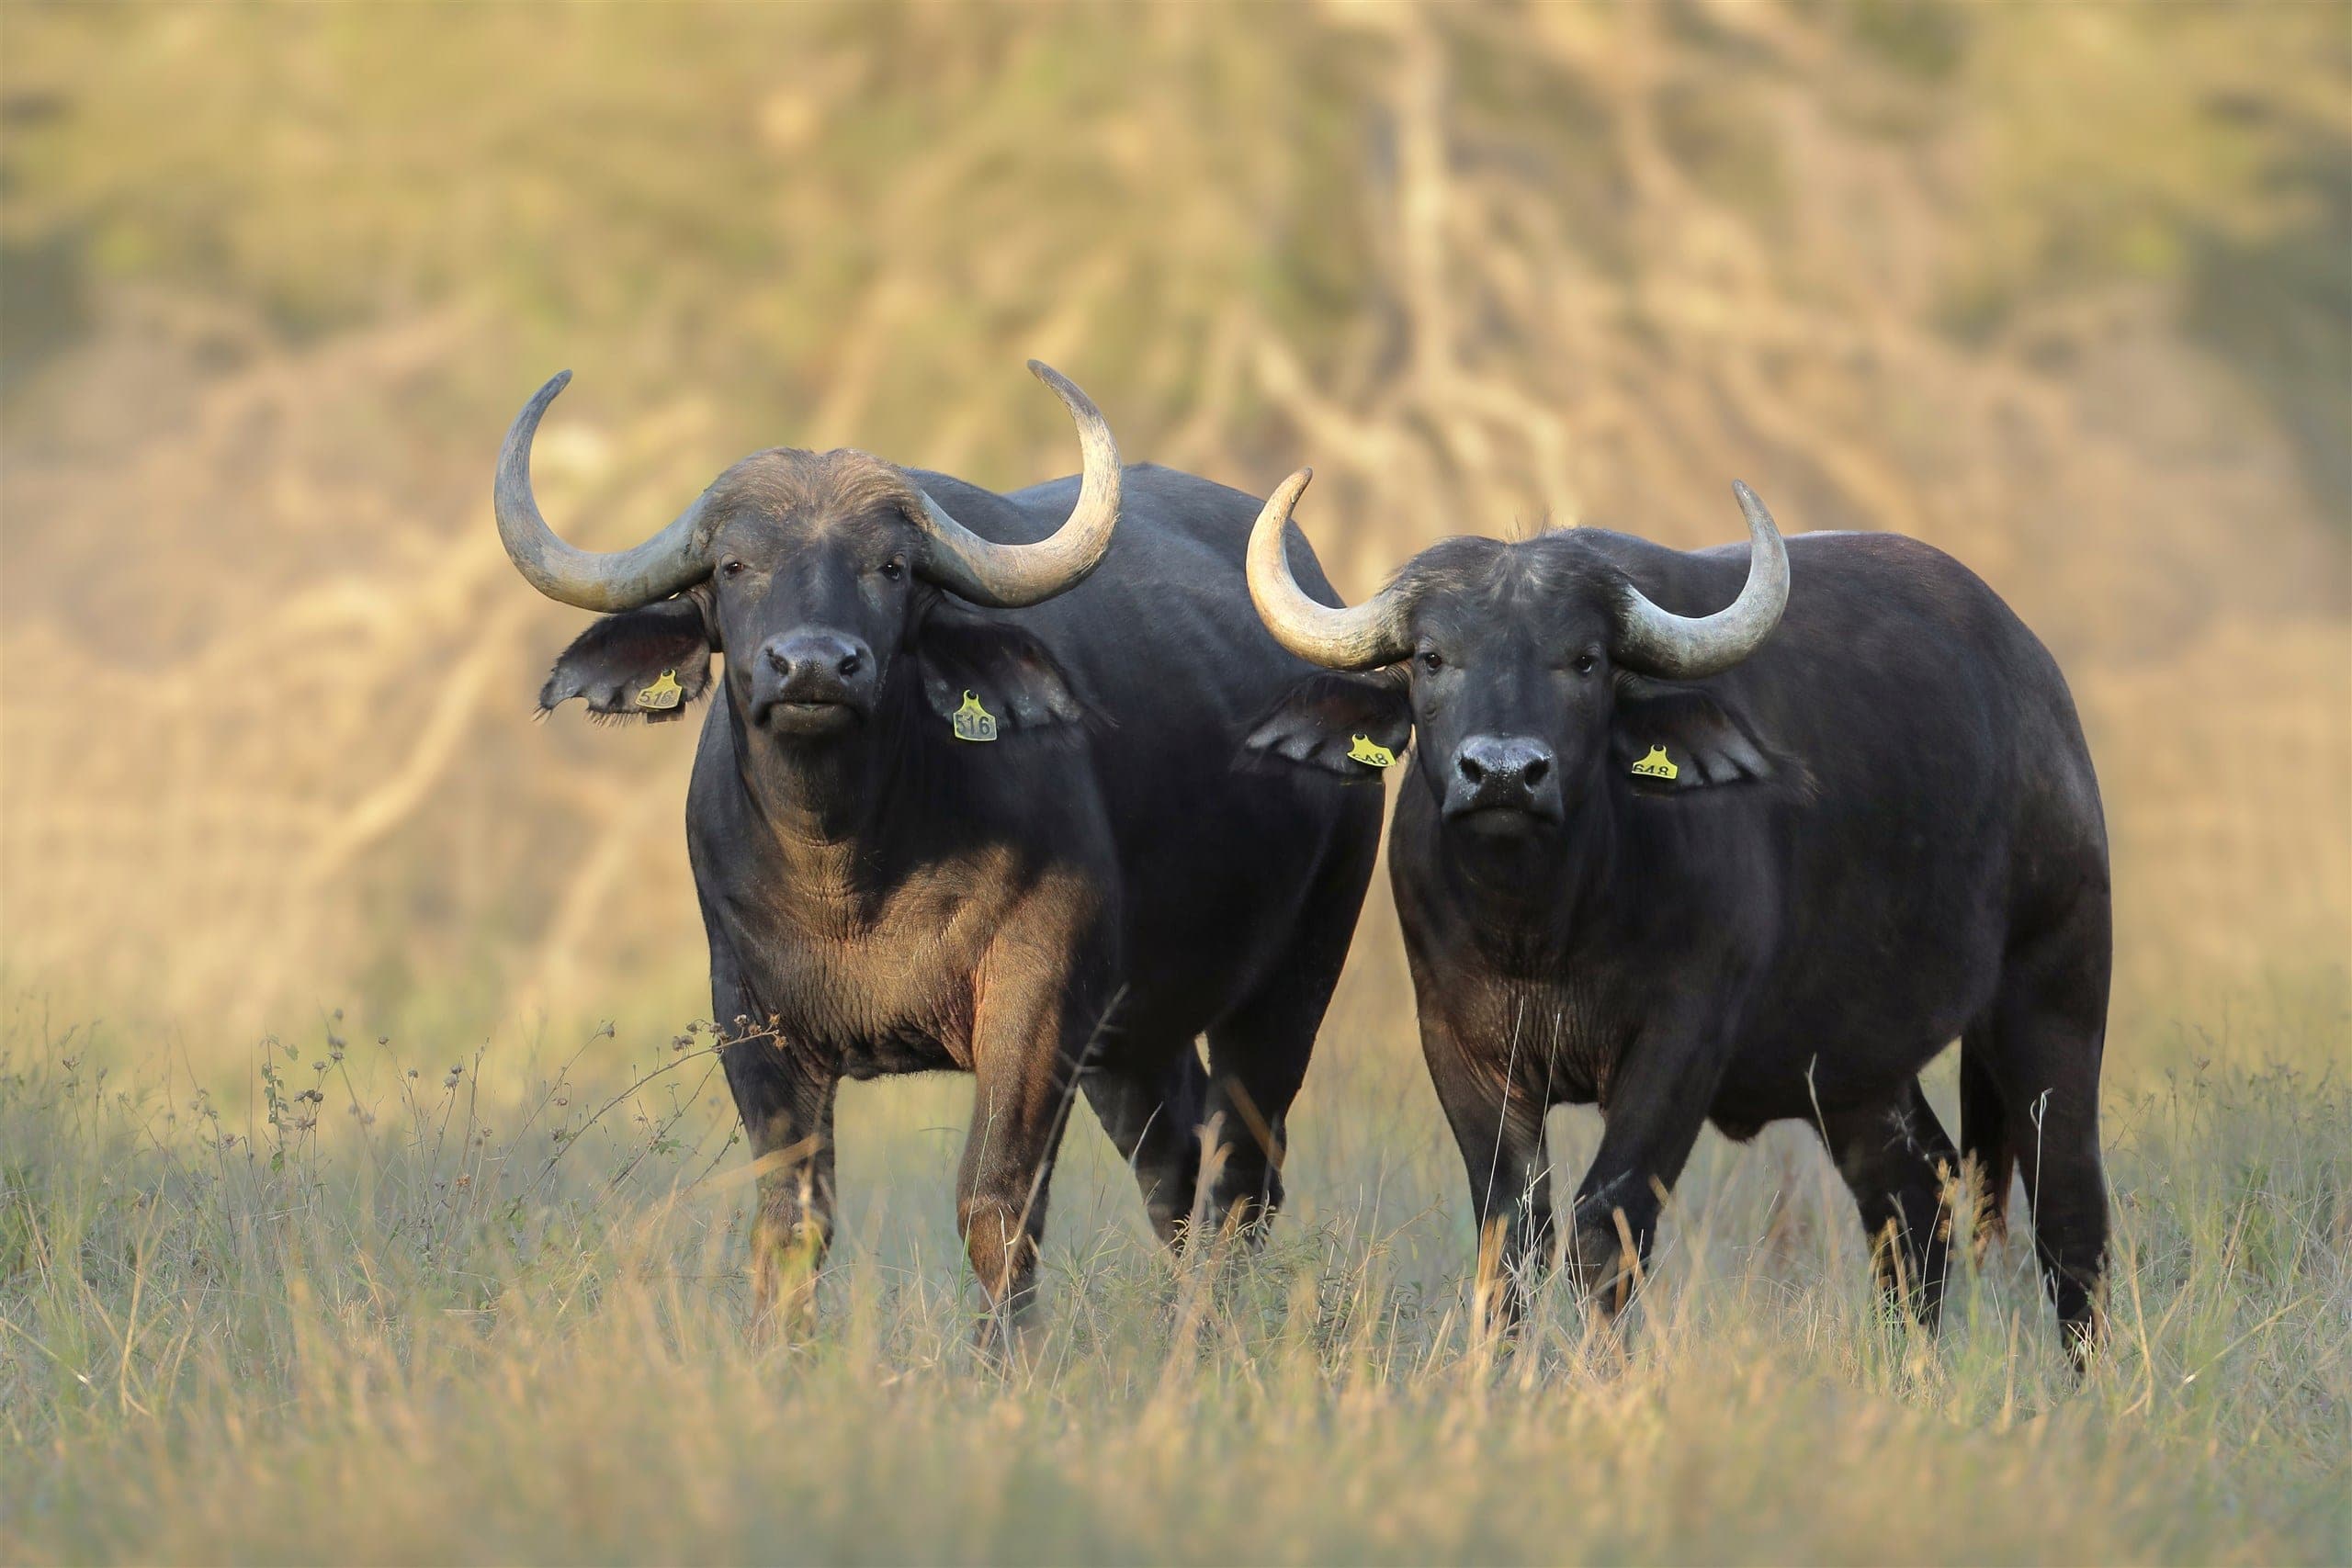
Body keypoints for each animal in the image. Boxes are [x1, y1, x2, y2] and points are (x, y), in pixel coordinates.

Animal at [494, 366, 1381, 1337]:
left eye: (890, 567)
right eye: (733, 565)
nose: (814, 666)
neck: (851, 876)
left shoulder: (1037, 999)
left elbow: (995, 1201)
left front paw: (1005, 1355)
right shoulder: (750, 1013)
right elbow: (791, 1217)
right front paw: (777, 1351)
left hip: (1299, 970)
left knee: (1243, 1174)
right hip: (1139, 1037)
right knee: (1172, 1171)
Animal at [1237, 470, 2111, 1357]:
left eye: (1585, 660)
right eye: (1431, 658)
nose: (1505, 773)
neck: (1540, 927)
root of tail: (2038, 683)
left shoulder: (1681, 1043)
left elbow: (1606, 1224)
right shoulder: (1459, 1044)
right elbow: (1510, 1229)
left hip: (2054, 993)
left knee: (2069, 1213)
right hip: (1854, 1069)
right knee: (1912, 1196)